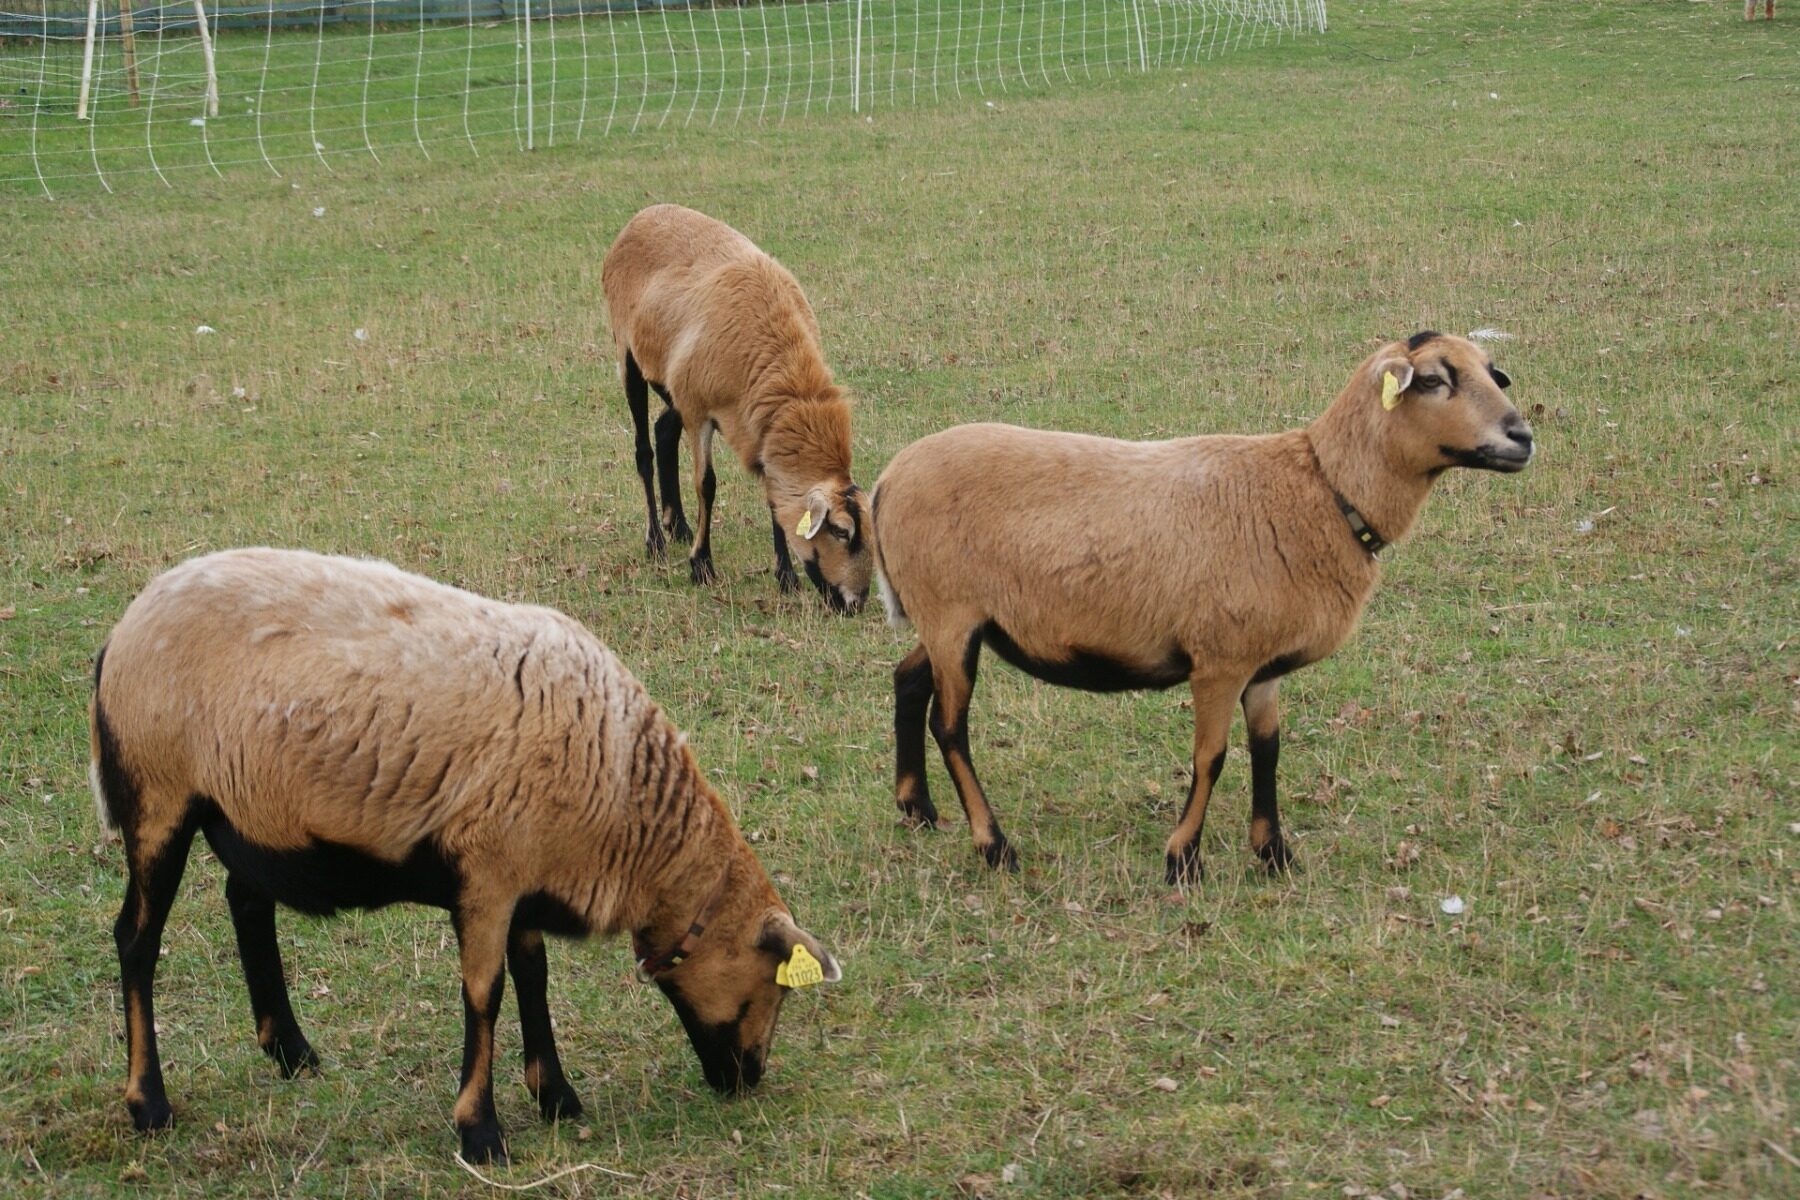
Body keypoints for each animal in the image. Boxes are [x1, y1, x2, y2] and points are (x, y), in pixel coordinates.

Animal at [89, 547, 841, 1163]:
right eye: (775, 985)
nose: (747, 1078)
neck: (625, 808)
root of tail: (120, 631)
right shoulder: (488, 873)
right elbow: (485, 994)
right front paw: (481, 1133)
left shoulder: (528, 875)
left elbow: (534, 976)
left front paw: (556, 1096)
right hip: (158, 798)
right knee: (137, 941)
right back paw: (148, 1104)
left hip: (251, 813)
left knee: (245, 902)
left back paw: (292, 1052)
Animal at [601, 203, 872, 614]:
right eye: (840, 531)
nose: (855, 603)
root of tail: (644, 214)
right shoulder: (699, 412)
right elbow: (706, 484)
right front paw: (701, 566)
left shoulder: (756, 424)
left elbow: (773, 496)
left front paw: (786, 577)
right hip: (628, 354)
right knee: (643, 451)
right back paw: (656, 542)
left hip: (675, 383)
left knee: (664, 431)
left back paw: (678, 526)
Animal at [869, 332, 1534, 885]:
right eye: (1433, 379)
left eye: (1490, 372)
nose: (1522, 437)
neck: (1322, 490)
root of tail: (885, 480)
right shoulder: (1219, 658)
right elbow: (1211, 757)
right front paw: (1182, 860)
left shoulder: (1261, 666)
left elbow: (1267, 749)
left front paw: (1274, 855)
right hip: (951, 614)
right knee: (950, 726)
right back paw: (994, 846)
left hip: (950, 619)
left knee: (908, 680)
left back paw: (917, 808)